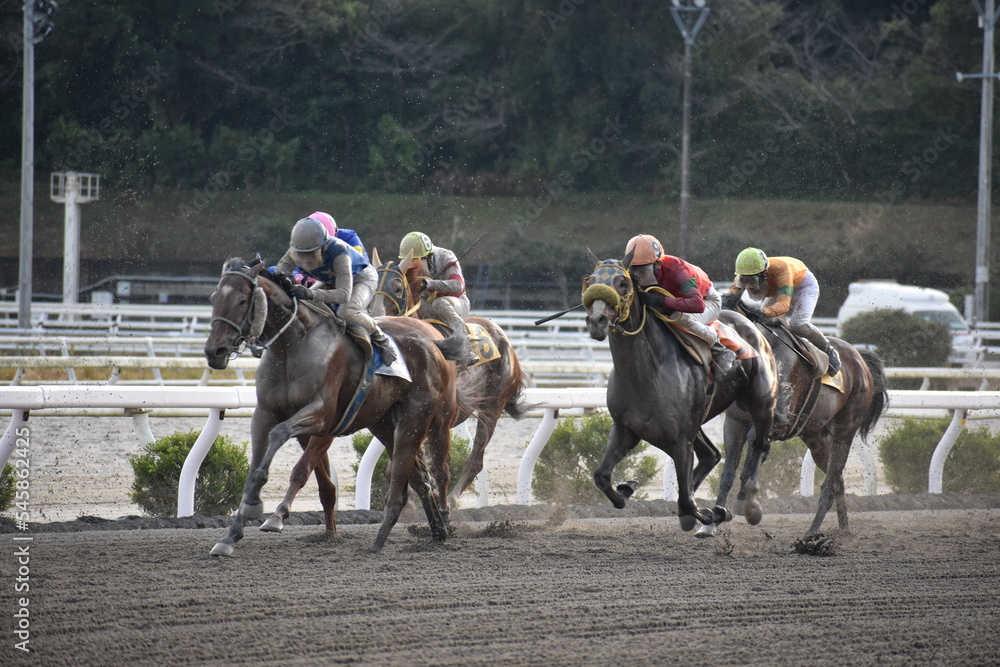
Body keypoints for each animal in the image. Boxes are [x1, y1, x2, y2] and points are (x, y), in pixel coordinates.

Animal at [203, 256, 476, 552]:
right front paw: (231, 535)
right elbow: (258, 467)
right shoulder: (265, 414)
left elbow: (291, 453)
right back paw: (437, 532)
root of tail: (433, 343)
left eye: (242, 301)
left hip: (422, 420)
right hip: (383, 424)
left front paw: (272, 513)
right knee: (419, 478)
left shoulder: (324, 417)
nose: (214, 351)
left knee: (430, 472)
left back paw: (415, 531)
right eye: (213, 298)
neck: (292, 345)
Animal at [372, 249, 532, 506]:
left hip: (492, 407)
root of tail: (505, 338)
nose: (376, 316)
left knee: (476, 459)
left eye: (397, 287)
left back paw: (454, 498)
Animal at [708, 302, 888, 544]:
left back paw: (811, 534)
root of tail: (860, 359)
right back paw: (844, 529)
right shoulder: (735, 422)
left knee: (829, 484)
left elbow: (754, 442)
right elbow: (728, 473)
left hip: (845, 431)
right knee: (837, 481)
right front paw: (713, 522)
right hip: (816, 439)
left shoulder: (781, 422)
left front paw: (742, 497)